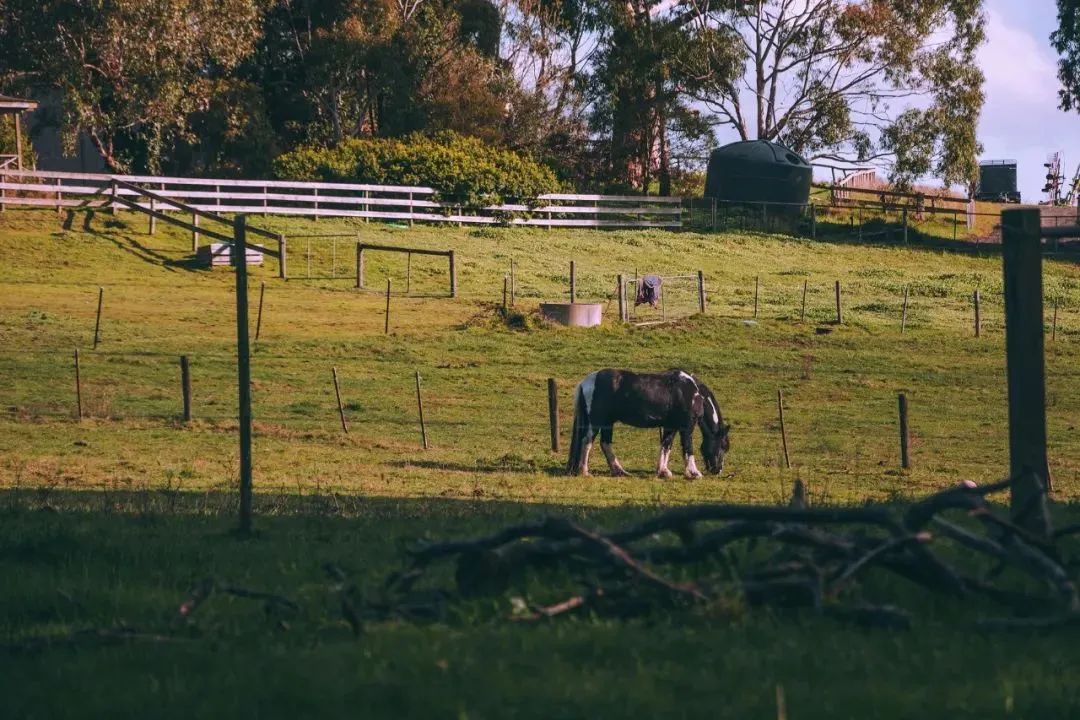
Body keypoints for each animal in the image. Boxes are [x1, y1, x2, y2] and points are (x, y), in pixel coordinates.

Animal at [565, 371, 734, 479]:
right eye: (723, 446)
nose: (718, 470)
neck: (691, 392)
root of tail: (586, 382)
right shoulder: (687, 427)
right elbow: (688, 448)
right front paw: (693, 473)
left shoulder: (670, 427)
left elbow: (666, 446)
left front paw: (663, 471)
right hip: (597, 421)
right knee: (587, 442)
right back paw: (585, 471)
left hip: (608, 422)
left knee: (605, 444)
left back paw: (619, 471)